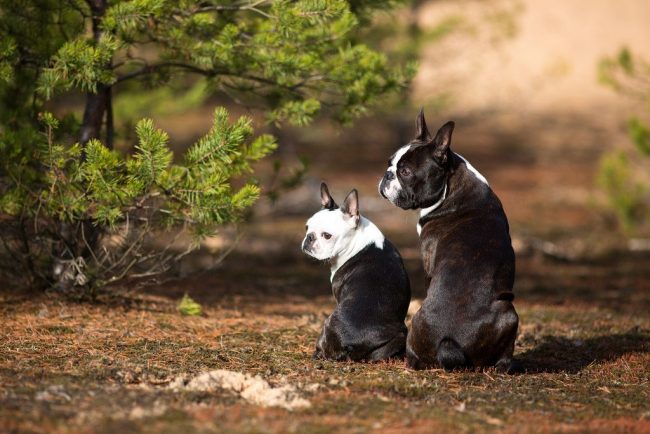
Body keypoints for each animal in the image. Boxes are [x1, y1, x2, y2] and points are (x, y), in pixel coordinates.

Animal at [300, 182, 410, 360]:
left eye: (327, 235)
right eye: (307, 227)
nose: (309, 237)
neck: (357, 240)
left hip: (329, 322)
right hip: (399, 335)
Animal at [374, 110, 516, 372]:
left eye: (405, 172)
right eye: (389, 163)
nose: (387, 174)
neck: (451, 188)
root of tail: (448, 344)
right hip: (509, 312)